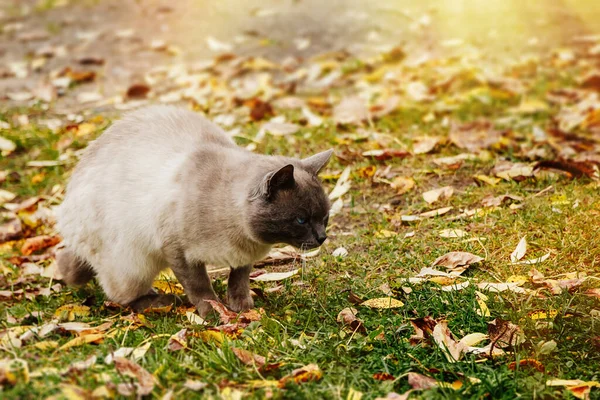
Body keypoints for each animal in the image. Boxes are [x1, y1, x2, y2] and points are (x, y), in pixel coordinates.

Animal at [55, 105, 332, 316]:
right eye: (301, 220)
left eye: (325, 218)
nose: (322, 237)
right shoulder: (179, 252)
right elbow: (200, 288)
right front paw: (214, 314)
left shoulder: (243, 256)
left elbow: (238, 281)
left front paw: (241, 308)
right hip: (132, 265)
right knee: (120, 296)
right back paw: (165, 302)